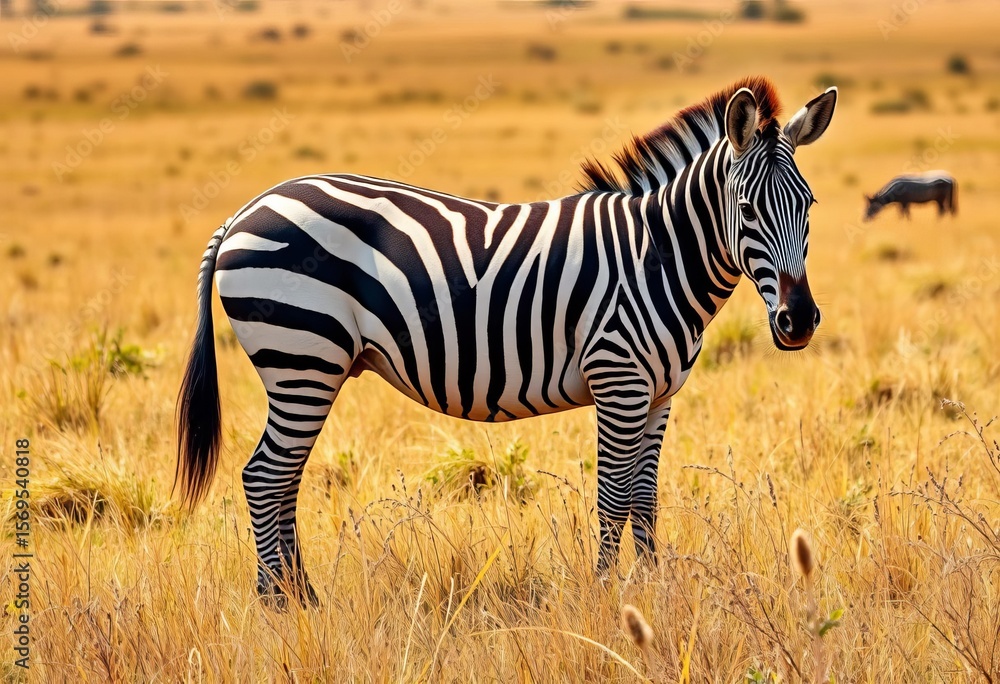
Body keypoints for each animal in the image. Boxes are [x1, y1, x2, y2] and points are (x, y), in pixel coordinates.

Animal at [176, 76, 837, 606]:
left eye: (810, 205)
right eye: (747, 208)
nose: (800, 321)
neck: (659, 257)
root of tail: (244, 211)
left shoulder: (660, 394)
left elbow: (646, 499)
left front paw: (653, 592)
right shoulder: (618, 381)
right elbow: (614, 497)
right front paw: (607, 596)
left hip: (304, 365)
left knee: (282, 479)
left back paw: (300, 595)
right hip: (301, 356)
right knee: (265, 476)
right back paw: (281, 605)